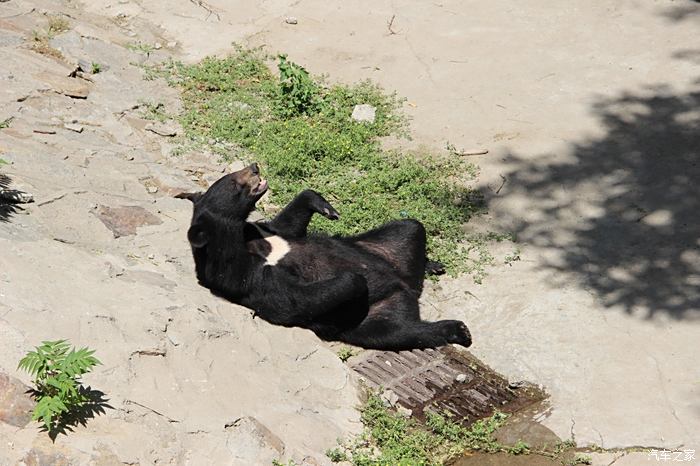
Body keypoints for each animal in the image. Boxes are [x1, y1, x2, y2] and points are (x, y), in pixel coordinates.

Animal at [176, 164, 470, 350]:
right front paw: (357, 280)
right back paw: (458, 330)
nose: (255, 166)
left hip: (387, 245)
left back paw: (431, 265)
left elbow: (288, 223)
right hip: (372, 317)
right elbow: (297, 298)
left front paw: (327, 208)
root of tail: (406, 289)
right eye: (234, 183)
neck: (243, 241)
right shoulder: (250, 277)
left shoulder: (265, 231)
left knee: (410, 228)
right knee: (402, 331)